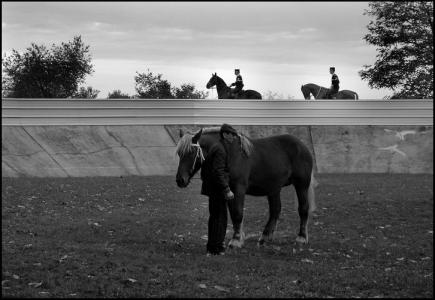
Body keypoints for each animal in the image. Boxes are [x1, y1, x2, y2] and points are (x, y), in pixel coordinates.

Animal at [176, 126, 316, 248]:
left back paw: (301, 237)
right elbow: (233, 214)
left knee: (303, 208)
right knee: (275, 210)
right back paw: (265, 237)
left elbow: (238, 213)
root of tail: (302, 146)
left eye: (191, 152)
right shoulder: (229, 191)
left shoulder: (238, 189)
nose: (180, 180)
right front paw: (238, 237)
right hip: (274, 188)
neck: (230, 153)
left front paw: (236, 240)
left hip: (302, 184)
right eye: (179, 153)